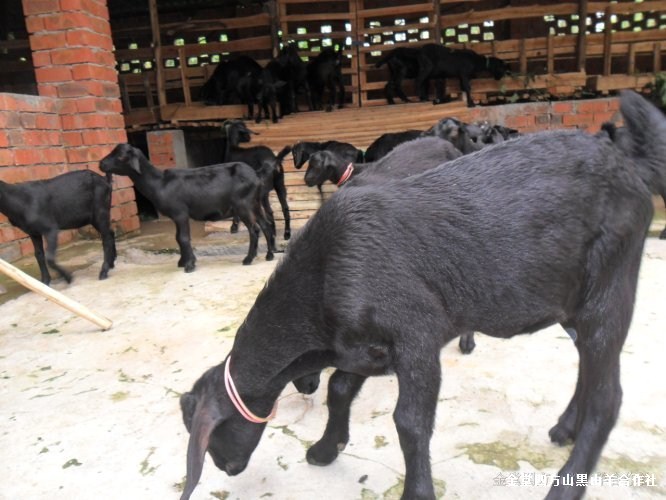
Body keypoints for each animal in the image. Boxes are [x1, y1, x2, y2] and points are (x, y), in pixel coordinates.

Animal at [101, 144, 272, 270]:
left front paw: (189, 265)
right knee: (266, 225)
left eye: (121, 156)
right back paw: (269, 255)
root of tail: (256, 175)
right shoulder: (177, 216)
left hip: (243, 205)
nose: (101, 164)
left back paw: (248, 259)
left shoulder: (180, 213)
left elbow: (183, 238)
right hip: (255, 203)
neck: (159, 182)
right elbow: (178, 238)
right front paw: (183, 262)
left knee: (254, 229)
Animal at [179, 90, 660, 500]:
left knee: (608, 399)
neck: (322, 279)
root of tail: (630, 170)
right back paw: (565, 428)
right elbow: (340, 388)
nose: (226, 468)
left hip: (610, 283)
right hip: (573, 298)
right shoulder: (365, 349)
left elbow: (408, 424)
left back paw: (565, 484)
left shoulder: (417, 337)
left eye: (209, 433)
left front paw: (416, 490)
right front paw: (326, 448)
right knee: (589, 366)